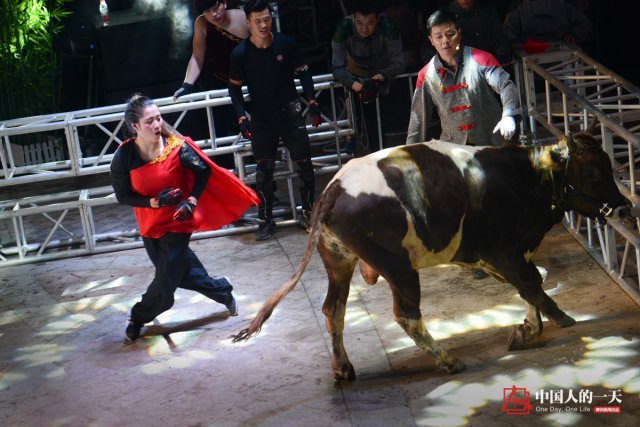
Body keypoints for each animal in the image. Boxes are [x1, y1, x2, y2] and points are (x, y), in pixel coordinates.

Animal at [232, 135, 628, 382]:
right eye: (592, 172)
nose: (622, 206)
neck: (528, 177)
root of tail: (334, 187)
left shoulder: (510, 255)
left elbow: (529, 288)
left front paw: (528, 328)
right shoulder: (504, 252)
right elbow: (532, 285)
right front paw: (558, 320)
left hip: (339, 262)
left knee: (334, 310)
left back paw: (343, 367)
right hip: (399, 268)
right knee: (406, 315)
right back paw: (447, 360)